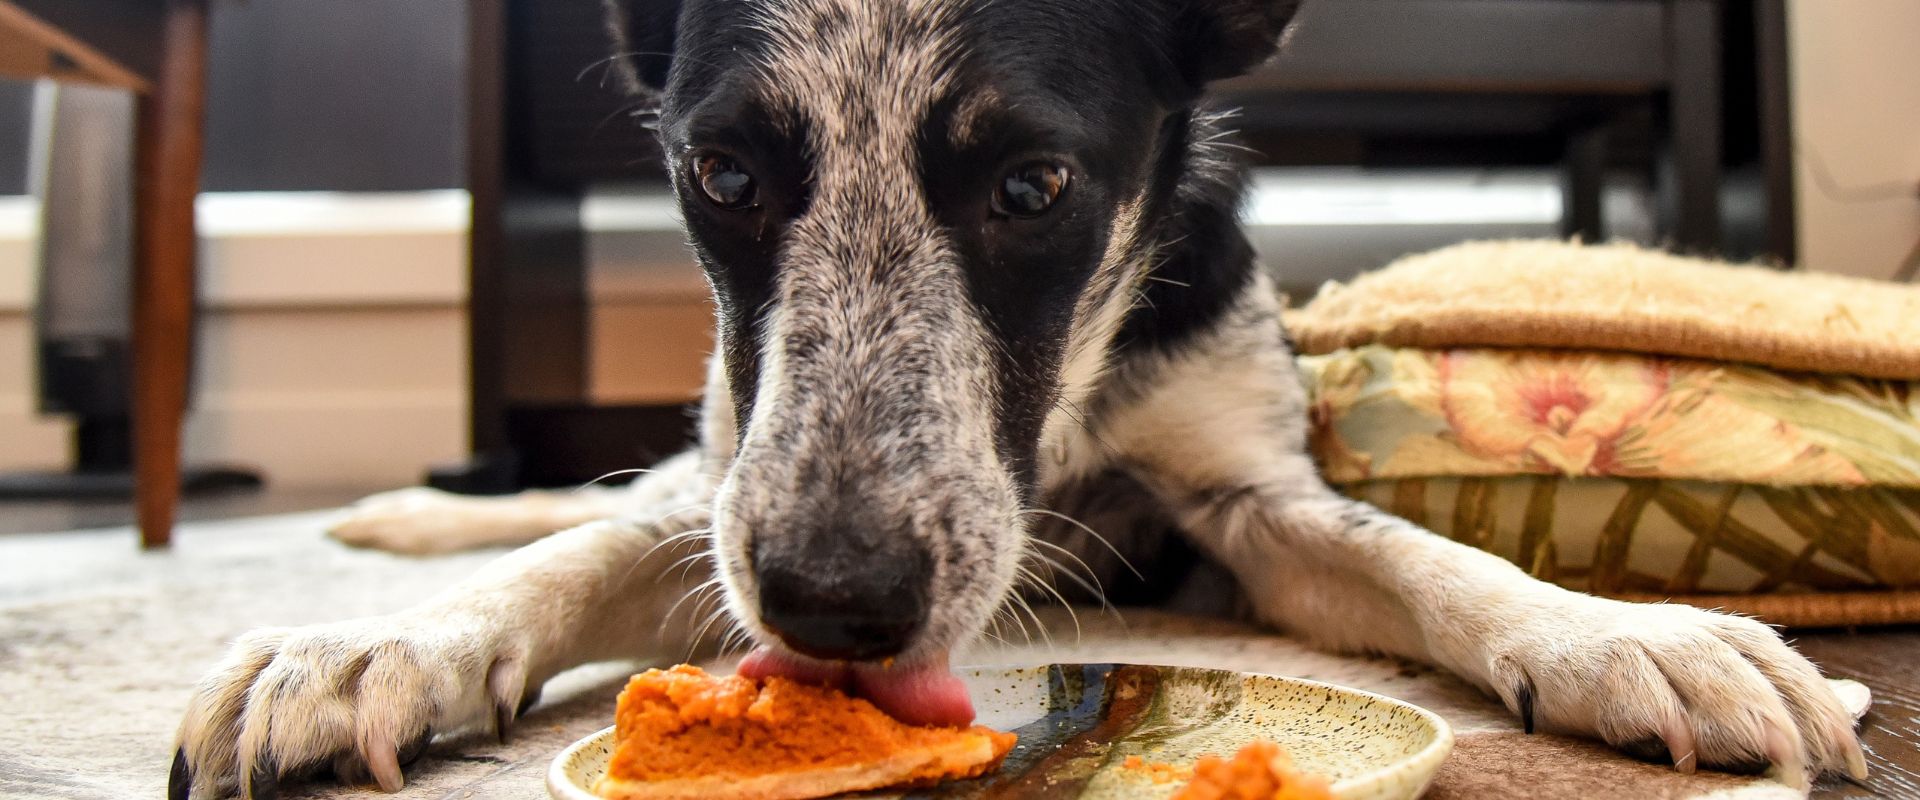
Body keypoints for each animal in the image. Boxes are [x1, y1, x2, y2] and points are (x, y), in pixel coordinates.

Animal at [168, 3, 1858, 794]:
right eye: (723, 174)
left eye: (1036, 185)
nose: (834, 603)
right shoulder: (735, 494)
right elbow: (580, 548)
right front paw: (376, 645)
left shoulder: (1250, 505)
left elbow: (1421, 557)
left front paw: (1622, 635)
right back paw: (400, 525)